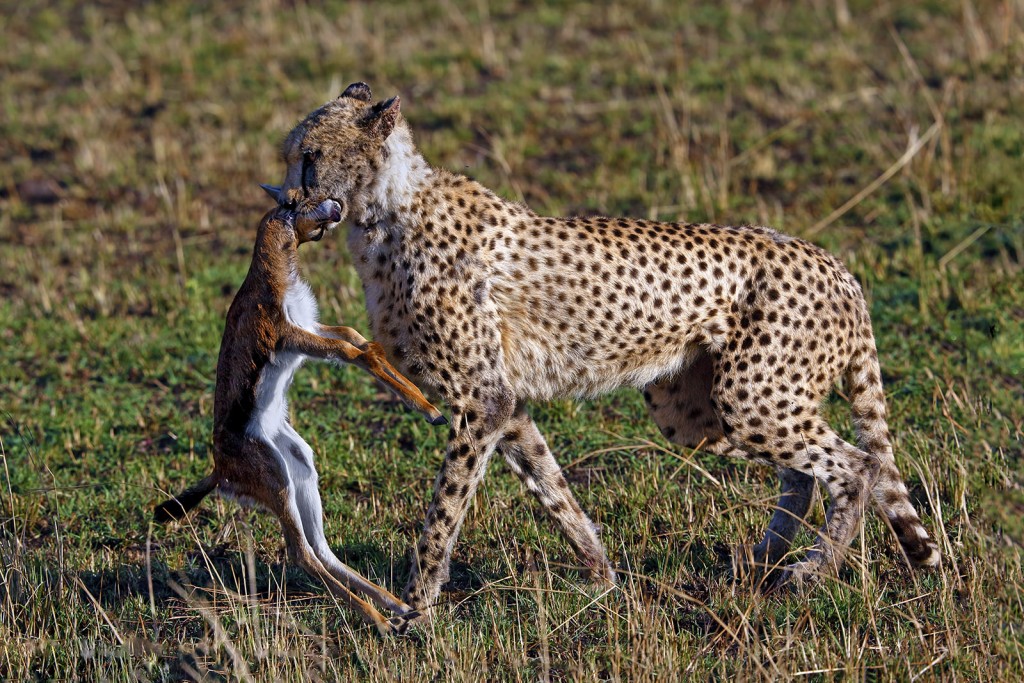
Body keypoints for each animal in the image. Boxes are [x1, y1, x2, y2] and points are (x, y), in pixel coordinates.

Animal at [266, 81, 942, 626]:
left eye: (311, 156)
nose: (288, 200)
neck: (386, 209)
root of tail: (835, 262)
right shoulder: (505, 405)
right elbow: (552, 488)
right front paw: (601, 575)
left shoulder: (482, 400)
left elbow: (444, 511)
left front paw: (416, 609)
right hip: (697, 410)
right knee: (803, 473)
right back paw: (765, 557)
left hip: (752, 398)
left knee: (858, 467)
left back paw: (812, 571)